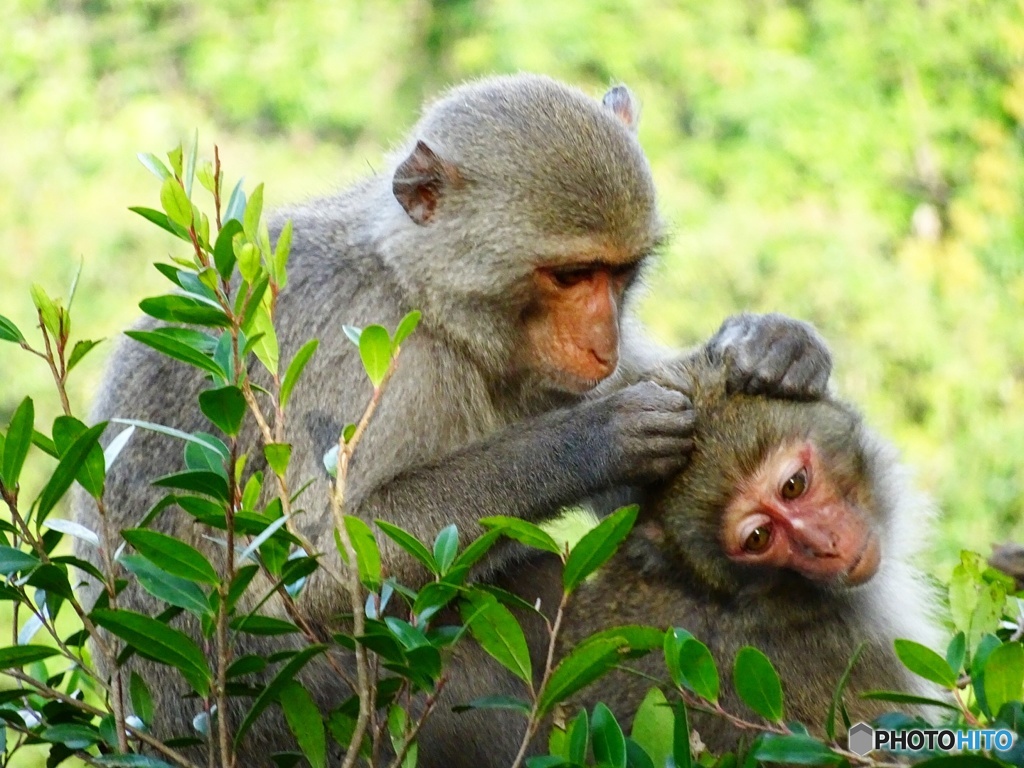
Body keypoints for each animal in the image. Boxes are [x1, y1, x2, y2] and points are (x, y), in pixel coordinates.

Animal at [74, 76, 831, 757]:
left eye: (619, 274)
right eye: (569, 275)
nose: (603, 343)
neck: (427, 300)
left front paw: (774, 345)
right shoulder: (369, 357)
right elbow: (317, 571)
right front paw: (593, 440)